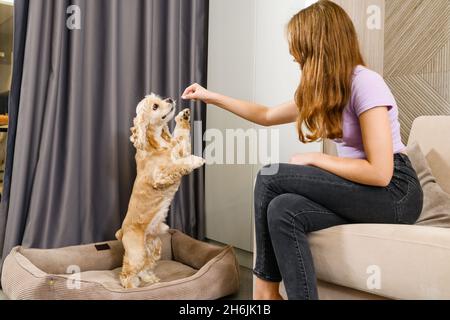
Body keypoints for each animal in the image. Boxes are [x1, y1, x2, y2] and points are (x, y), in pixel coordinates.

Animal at [115, 94, 205, 288]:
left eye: (160, 99)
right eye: (155, 106)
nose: (170, 99)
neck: (156, 143)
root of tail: (122, 231)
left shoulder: (179, 150)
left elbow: (182, 139)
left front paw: (183, 116)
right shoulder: (161, 175)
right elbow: (180, 164)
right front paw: (197, 160)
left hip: (154, 246)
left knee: (145, 267)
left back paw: (150, 279)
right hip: (137, 253)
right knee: (126, 273)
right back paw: (131, 287)